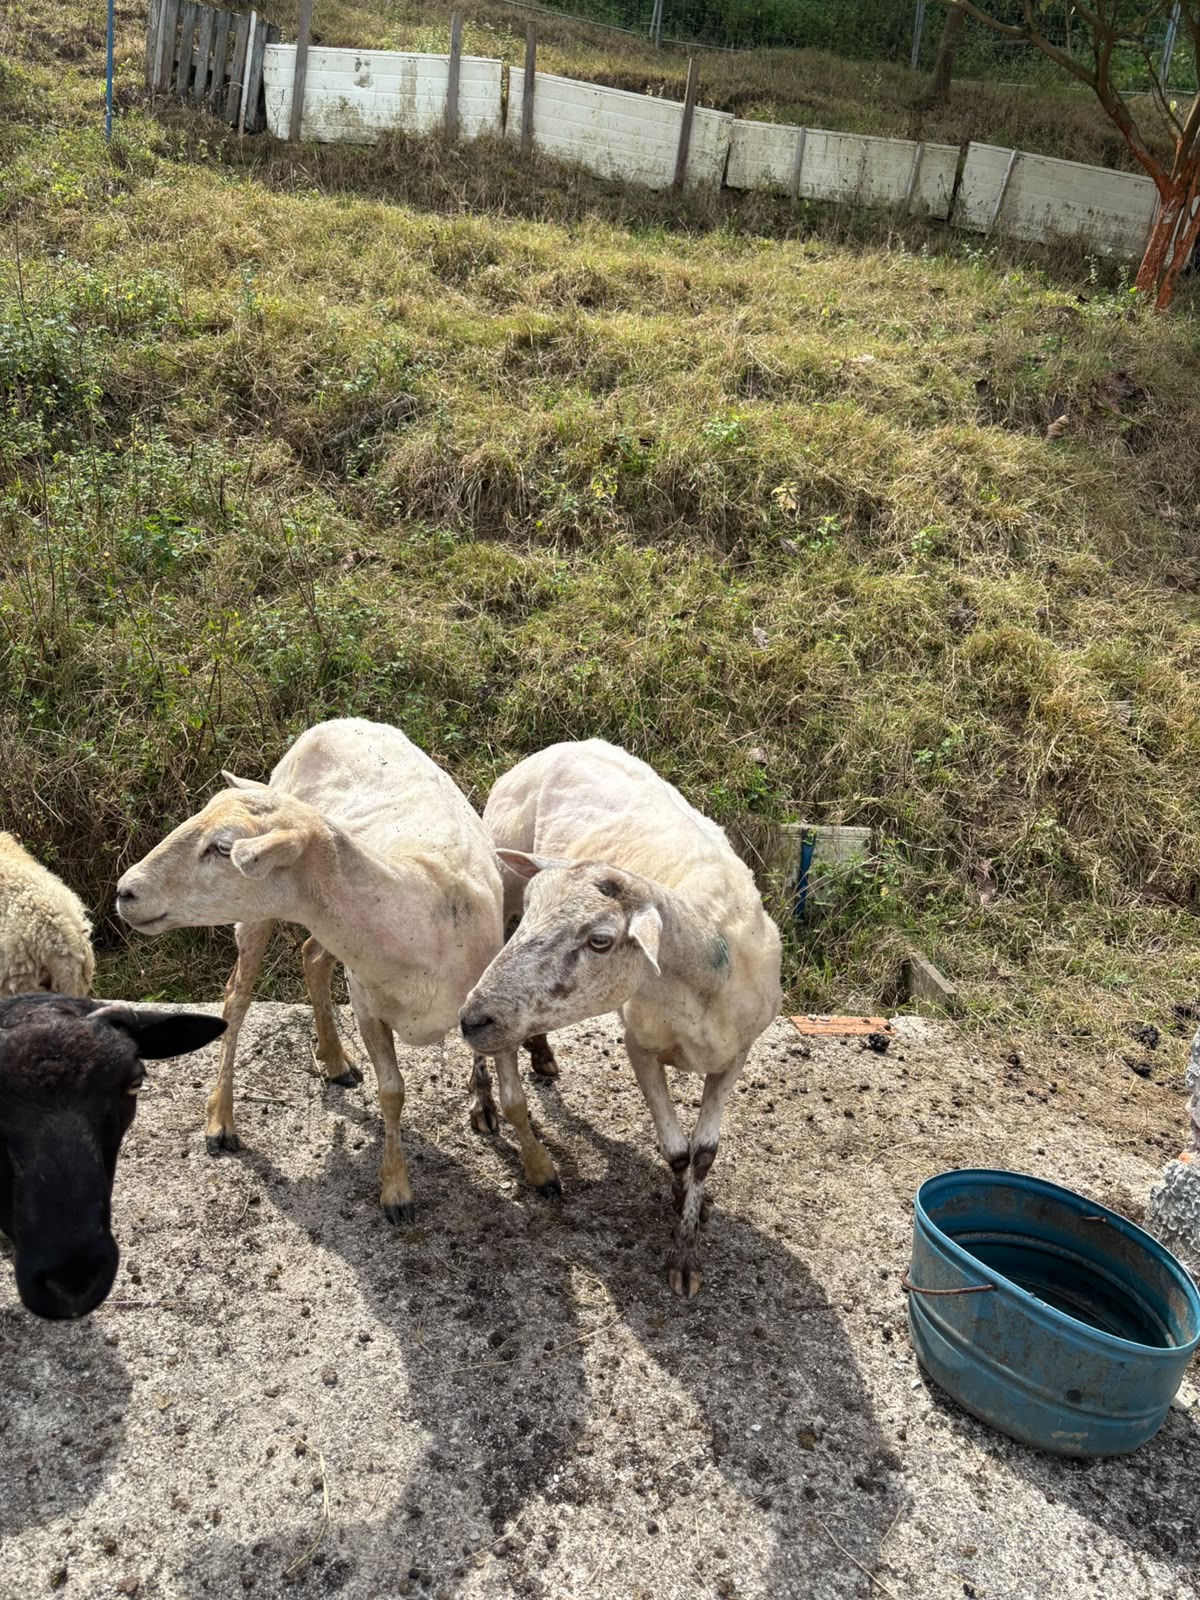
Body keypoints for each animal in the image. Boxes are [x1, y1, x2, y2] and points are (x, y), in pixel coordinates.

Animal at [115, 718, 561, 1221]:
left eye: (223, 847)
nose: (125, 890)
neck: (414, 906)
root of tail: (337, 722)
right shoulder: (367, 1008)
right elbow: (392, 1095)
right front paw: (396, 1191)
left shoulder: (491, 1003)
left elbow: (514, 1099)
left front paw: (540, 1170)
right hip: (261, 917)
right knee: (237, 997)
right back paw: (221, 1118)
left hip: (326, 928)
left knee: (311, 955)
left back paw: (332, 1060)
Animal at [459, 738, 783, 1298]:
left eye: (600, 940)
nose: (471, 1019)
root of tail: (563, 744)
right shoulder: (639, 1046)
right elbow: (676, 1153)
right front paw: (681, 1246)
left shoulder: (735, 1054)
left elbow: (704, 1153)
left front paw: (692, 1217)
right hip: (501, 884)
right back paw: (484, 1100)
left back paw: (539, 1052)